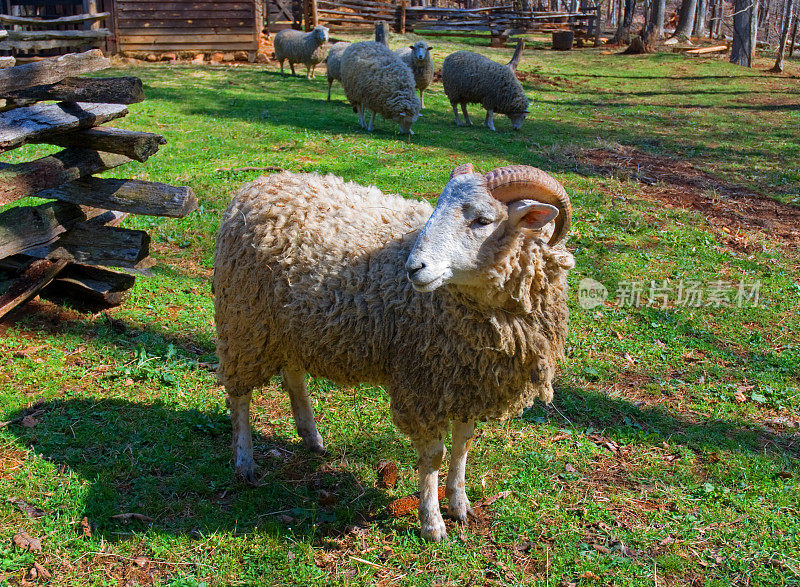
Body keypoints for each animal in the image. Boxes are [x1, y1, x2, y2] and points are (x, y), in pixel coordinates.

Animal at [214, 162, 576, 544]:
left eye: (483, 220)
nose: (414, 268)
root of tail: (258, 185)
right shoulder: (423, 383)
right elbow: (433, 456)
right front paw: (432, 523)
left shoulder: (468, 379)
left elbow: (462, 446)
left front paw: (460, 505)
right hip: (244, 321)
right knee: (239, 394)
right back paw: (244, 463)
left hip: (291, 325)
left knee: (294, 376)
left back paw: (312, 438)